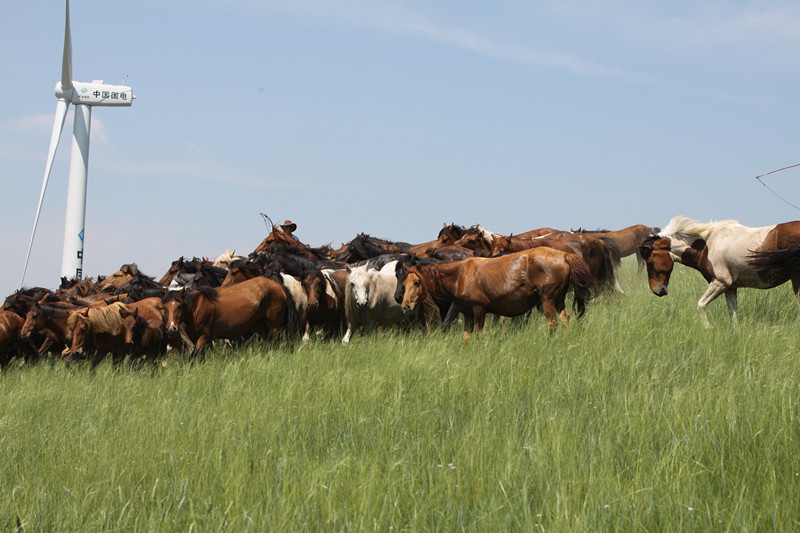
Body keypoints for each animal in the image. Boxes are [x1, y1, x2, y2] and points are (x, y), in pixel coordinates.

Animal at [396, 246, 596, 338]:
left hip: (547, 299)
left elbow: (478, 334)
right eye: (402, 280)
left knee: (552, 322)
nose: (404, 304)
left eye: (416, 282)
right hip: (559, 299)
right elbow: (466, 337)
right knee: (564, 317)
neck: (460, 274)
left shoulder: (478, 310)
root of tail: (564, 255)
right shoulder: (467, 312)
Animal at [640, 215, 800, 324]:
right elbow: (733, 316)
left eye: (651, 262)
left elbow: (701, 306)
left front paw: (708, 329)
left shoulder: (720, 283)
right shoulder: (730, 289)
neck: (707, 245)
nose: (658, 291)